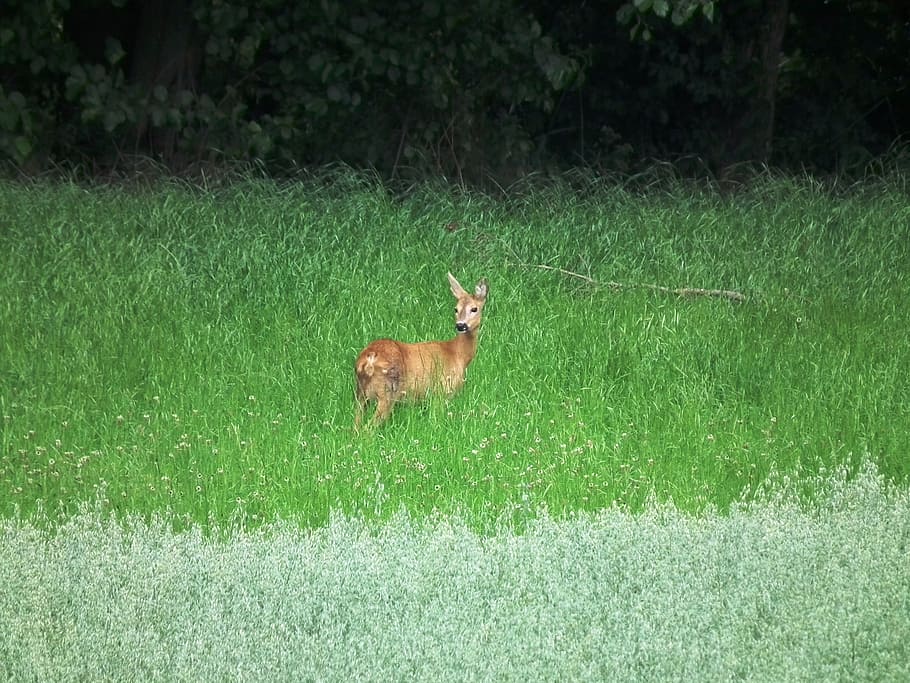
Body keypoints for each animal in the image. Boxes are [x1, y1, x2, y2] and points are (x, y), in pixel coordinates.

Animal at [354, 272, 489, 430]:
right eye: (456, 309)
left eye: (474, 309)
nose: (461, 325)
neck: (458, 354)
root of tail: (368, 360)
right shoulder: (442, 390)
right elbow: (436, 420)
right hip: (387, 392)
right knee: (367, 429)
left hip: (361, 394)